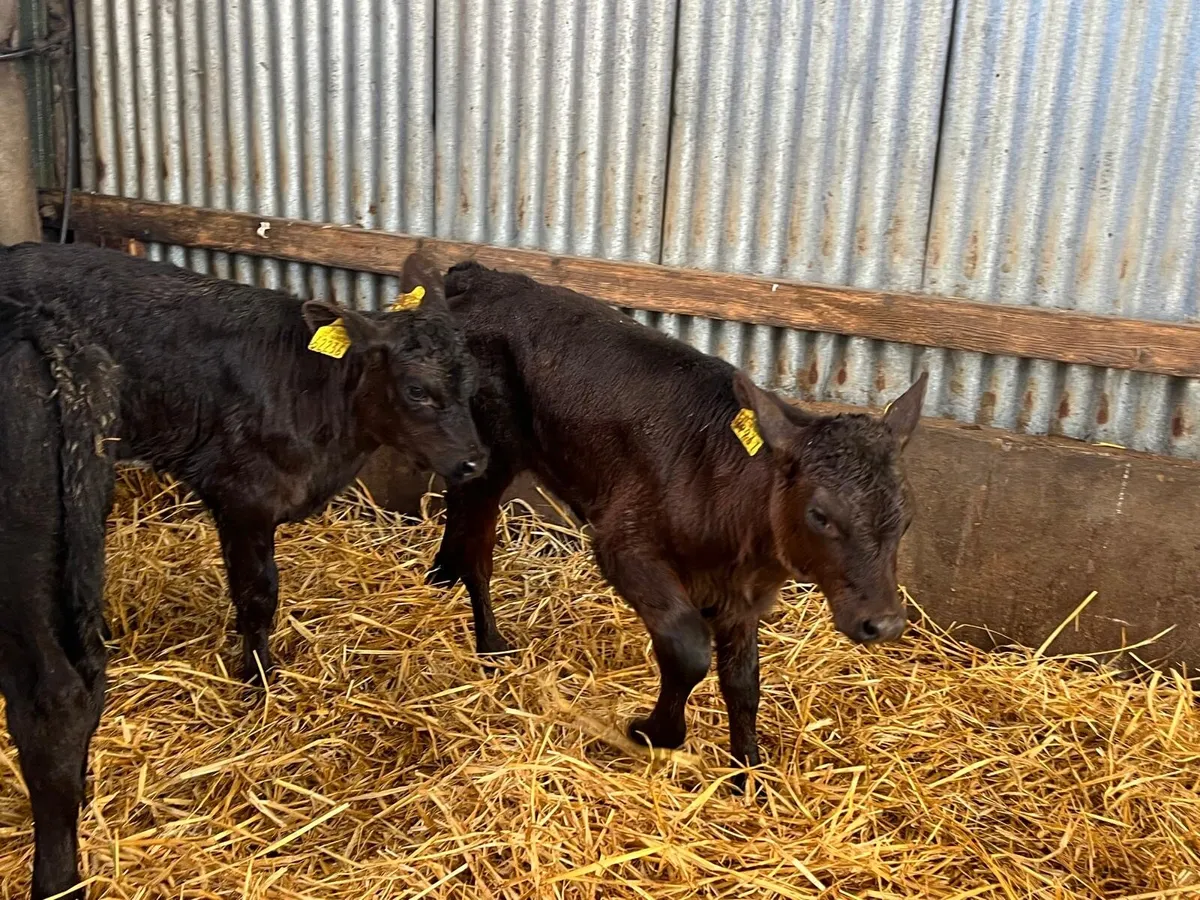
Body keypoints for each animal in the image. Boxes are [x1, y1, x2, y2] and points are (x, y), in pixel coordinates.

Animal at [0, 243, 485, 683]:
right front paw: (258, 679)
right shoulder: (241, 498)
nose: (475, 462)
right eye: (417, 390)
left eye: (471, 376)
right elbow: (257, 595)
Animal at [421, 256, 927, 783]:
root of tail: (480, 275)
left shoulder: (744, 596)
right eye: (820, 515)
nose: (884, 623)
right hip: (490, 453)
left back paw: (441, 574)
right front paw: (652, 732)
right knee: (478, 548)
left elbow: (743, 682)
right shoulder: (625, 546)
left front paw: (747, 773)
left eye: (907, 517)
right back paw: (490, 643)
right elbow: (688, 649)